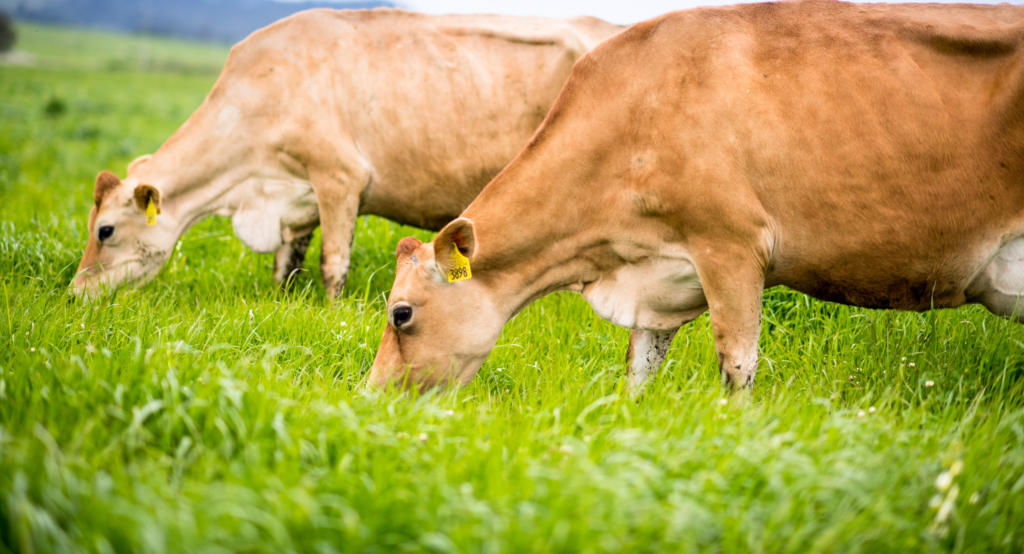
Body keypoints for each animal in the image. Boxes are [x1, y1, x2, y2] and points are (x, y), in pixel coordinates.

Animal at [72, 8, 618, 301]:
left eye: (106, 231)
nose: (75, 293)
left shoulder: (339, 178)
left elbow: (333, 263)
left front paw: (332, 312)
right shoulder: (296, 197)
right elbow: (286, 265)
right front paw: (282, 302)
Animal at [372, 2, 1024, 391]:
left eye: (401, 314)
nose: (371, 396)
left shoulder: (731, 246)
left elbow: (737, 366)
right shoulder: (657, 276)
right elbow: (636, 373)